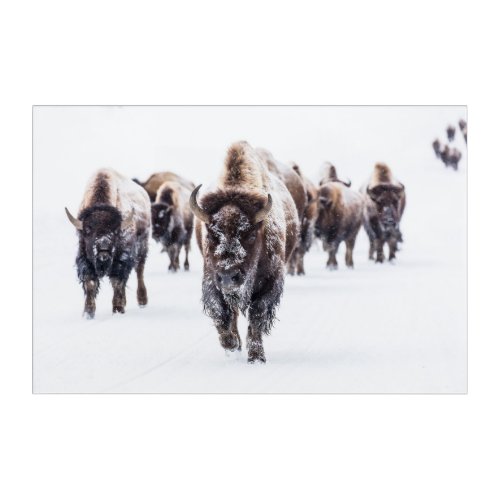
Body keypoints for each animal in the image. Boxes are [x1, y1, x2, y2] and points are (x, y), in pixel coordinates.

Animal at [65, 167, 150, 316]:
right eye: (88, 230)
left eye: (116, 231)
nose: (103, 252)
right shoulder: (85, 258)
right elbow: (90, 283)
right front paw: (88, 313)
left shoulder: (121, 259)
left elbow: (117, 282)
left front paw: (118, 309)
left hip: (143, 246)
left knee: (139, 270)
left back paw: (142, 301)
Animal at [190, 141, 300, 364]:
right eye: (211, 234)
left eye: (250, 234)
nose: (228, 277)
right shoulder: (211, 280)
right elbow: (220, 312)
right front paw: (231, 345)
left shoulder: (270, 282)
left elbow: (257, 315)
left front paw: (256, 357)